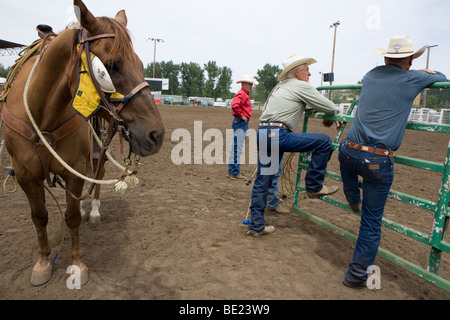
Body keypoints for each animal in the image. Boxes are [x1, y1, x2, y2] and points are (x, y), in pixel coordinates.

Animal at [0, 0, 165, 284]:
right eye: (111, 66)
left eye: (141, 64)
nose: (157, 134)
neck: (41, 113)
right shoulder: (24, 175)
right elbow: (39, 216)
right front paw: (42, 263)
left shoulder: (74, 168)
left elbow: (73, 216)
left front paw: (77, 264)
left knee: (97, 177)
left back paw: (95, 210)